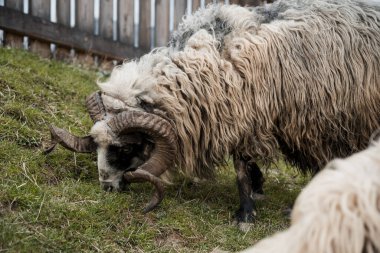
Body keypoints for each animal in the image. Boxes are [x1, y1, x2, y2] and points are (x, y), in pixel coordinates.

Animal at [46, 0, 380, 223]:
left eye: (126, 148)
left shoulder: (252, 115)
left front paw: (245, 215)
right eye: (97, 145)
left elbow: (241, 169)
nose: (107, 188)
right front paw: (258, 190)